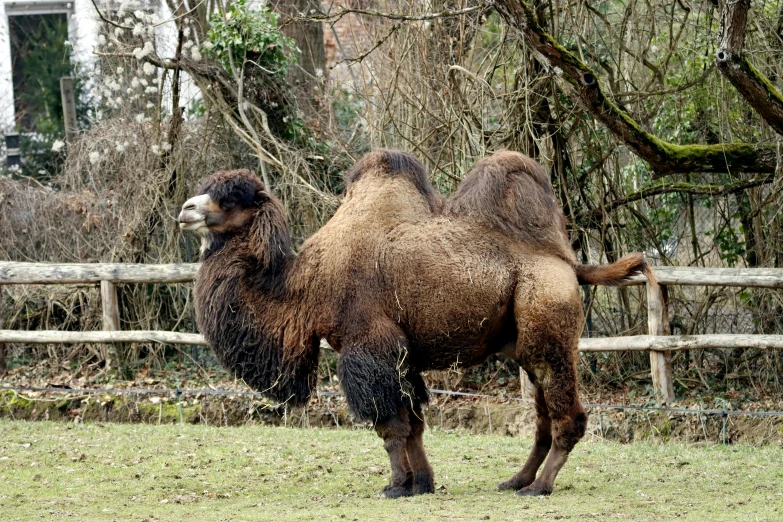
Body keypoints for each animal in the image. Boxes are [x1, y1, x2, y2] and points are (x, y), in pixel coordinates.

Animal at [179, 149, 656, 496]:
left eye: (231, 198)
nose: (185, 209)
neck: (305, 283)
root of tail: (570, 263)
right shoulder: (401, 355)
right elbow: (413, 425)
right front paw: (421, 484)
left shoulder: (367, 345)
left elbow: (389, 425)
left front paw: (394, 486)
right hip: (524, 339)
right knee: (542, 414)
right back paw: (515, 480)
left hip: (547, 320)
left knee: (567, 412)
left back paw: (540, 487)